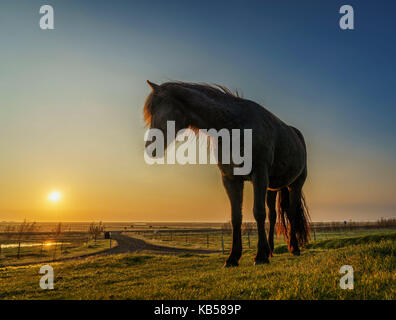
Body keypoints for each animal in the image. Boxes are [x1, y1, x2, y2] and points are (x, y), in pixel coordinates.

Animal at [142, 81, 310, 266]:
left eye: (156, 110)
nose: (150, 147)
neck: (236, 126)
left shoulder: (259, 175)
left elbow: (258, 212)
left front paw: (260, 256)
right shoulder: (230, 179)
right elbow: (236, 217)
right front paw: (233, 257)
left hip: (294, 185)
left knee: (292, 213)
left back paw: (294, 248)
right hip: (272, 188)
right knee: (273, 215)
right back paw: (271, 250)